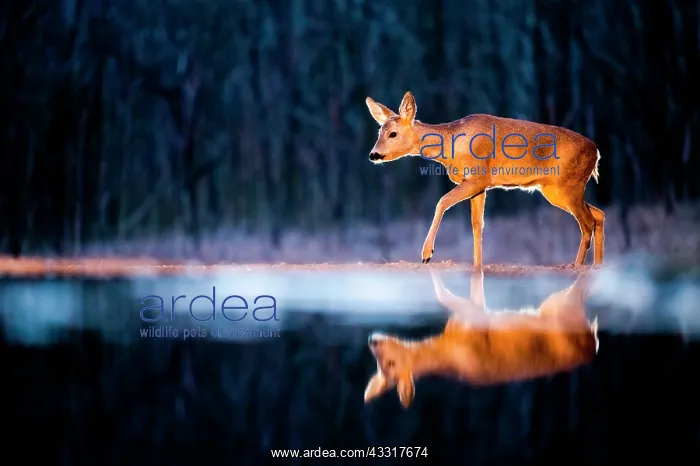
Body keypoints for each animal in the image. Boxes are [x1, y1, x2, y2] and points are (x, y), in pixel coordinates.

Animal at [363, 269, 599, 409]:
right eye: (378, 363)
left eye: (391, 364)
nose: (373, 340)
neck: (445, 351)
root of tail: (593, 343)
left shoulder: (472, 319)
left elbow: (444, 295)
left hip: (561, 308)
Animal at [365, 91, 605, 267]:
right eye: (379, 132)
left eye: (393, 134)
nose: (373, 154)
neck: (451, 145)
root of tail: (596, 152)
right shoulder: (479, 185)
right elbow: (477, 224)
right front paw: (477, 266)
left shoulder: (479, 178)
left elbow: (442, 201)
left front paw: (426, 254)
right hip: (557, 190)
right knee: (599, 215)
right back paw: (597, 266)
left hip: (568, 185)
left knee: (587, 222)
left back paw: (576, 266)